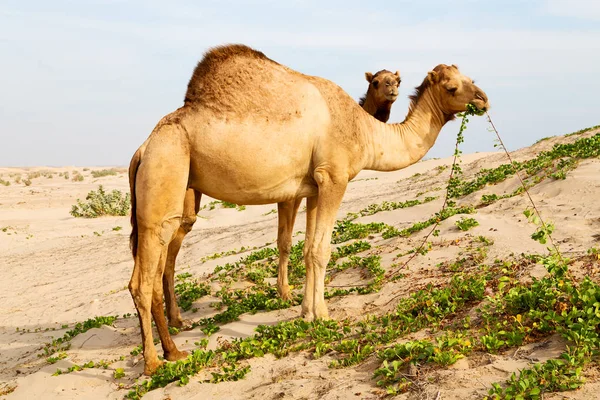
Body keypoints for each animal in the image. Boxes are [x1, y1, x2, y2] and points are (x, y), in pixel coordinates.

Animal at [131, 65, 404, 328]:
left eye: (396, 80)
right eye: (376, 82)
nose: (392, 89)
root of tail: (142, 149)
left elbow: (289, 239)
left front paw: (289, 294)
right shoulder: (291, 194)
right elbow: (285, 241)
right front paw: (286, 293)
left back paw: (176, 319)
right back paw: (174, 320)